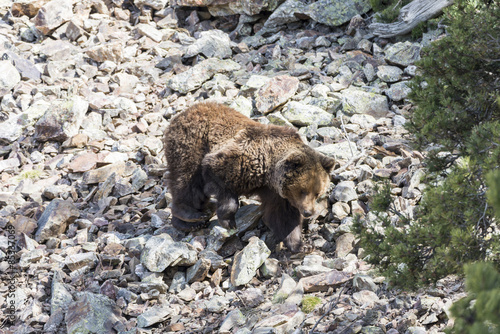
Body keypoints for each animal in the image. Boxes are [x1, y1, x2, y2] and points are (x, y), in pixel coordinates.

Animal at [165, 103, 336, 252]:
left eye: (317, 193)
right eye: (303, 191)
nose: (308, 212)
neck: (268, 171)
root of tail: (183, 112)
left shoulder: (276, 193)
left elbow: (283, 216)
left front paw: (301, 245)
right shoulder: (238, 159)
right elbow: (217, 176)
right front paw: (229, 221)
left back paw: (191, 222)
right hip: (191, 142)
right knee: (187, 181)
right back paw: (192, 216)